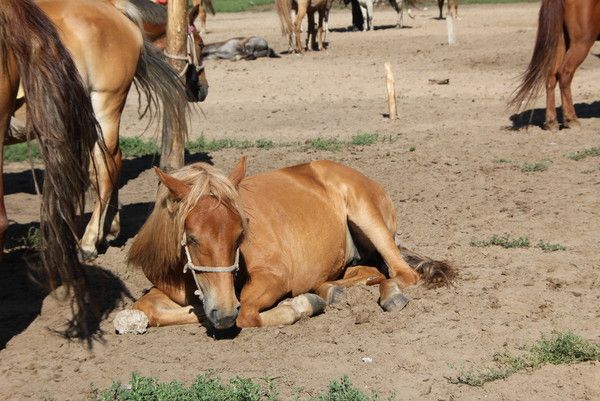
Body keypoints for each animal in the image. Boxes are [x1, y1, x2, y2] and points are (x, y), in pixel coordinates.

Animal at [123, 158, 454, 330]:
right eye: (191, 238)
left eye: (240, 234)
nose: (224, 311)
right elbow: (146, 308)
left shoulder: (274, 278)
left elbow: (247, 314)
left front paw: (300, 305)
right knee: (367, 271)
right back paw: (331, 291)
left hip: (369, 218)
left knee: (401, 273)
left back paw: (389, 296)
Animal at [510, 0, 600, 130]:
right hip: (581, 43)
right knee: (565, 73)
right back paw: (571, 119)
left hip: (559, 42)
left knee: (551, 77)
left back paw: (551, 122)